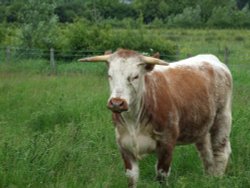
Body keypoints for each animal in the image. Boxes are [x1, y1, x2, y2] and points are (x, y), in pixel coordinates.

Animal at [78, 49, 232, 187]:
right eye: (110, 76)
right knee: (206, 154)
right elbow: (131, 177)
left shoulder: (167, 143)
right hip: (202, 127)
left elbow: (161, 176)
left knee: (220, 151)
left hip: (222, 118)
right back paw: (209, 179)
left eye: (135, 76)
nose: (117, 103)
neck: (133, 121)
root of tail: (211, 59)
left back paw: (217, 179)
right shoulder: (124, 146)